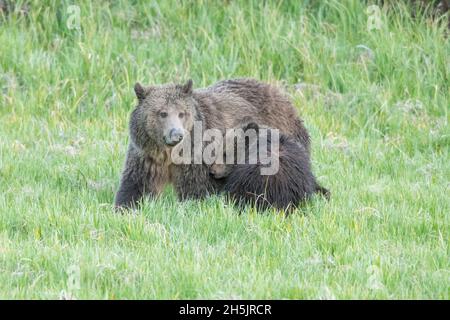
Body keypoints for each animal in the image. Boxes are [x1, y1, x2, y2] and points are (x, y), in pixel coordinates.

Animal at [114, 77, 312, 208]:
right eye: (162, 113)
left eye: (182, 113)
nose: (176, 134)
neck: (169, 155)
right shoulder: (147, 157)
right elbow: (136, 185)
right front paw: (124, 207)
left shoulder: (196, 157)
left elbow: (196, 190)